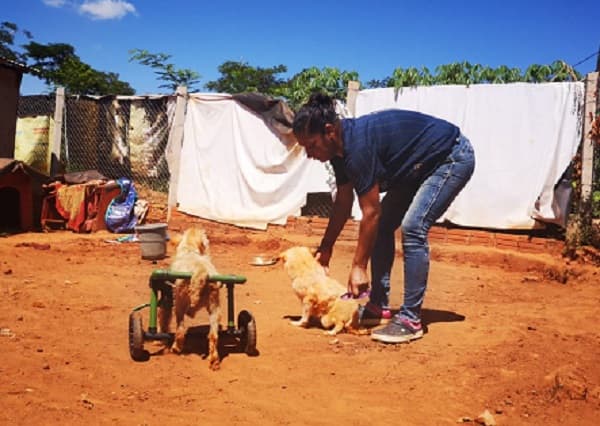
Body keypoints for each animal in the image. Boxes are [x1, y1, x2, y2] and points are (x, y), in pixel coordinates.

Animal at [158, 227, 221, 370]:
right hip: (214, 307)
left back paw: (176, 348)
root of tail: (202, 271)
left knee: (180, 330)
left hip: (180, 304)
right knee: (213, 335)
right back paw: (214, 361)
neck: (190, 249)